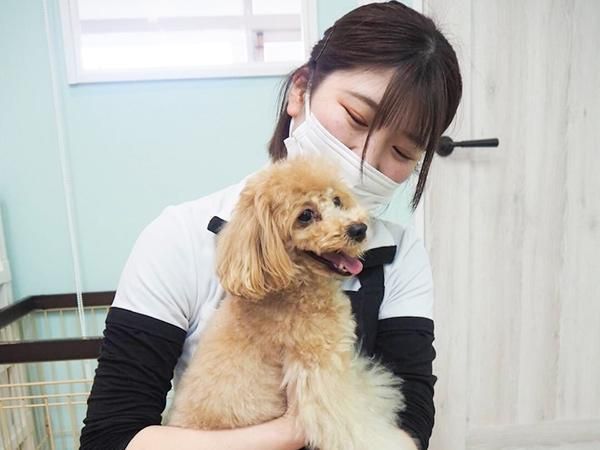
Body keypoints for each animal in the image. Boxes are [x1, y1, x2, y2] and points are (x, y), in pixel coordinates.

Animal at [168, 156, 409, 450]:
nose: (358, 229)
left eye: (337, 200)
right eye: (305, 215)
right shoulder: (319, 372)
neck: (295, 287)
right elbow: (350, 423)